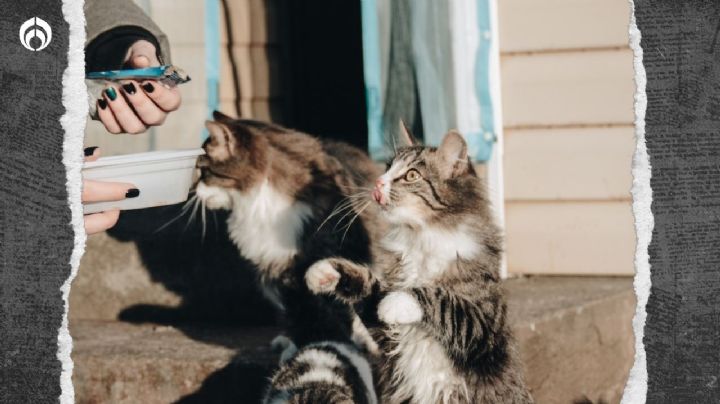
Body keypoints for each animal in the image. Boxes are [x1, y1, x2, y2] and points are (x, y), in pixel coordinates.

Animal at [304, 127, 536, 404]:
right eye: (387, 167)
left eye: (411, 175)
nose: (378, 183)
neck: (420, 239)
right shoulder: (386, 335)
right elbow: (367, 285)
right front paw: (324, 272)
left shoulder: (484, 327)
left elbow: (443, 301)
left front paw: (398, 302)